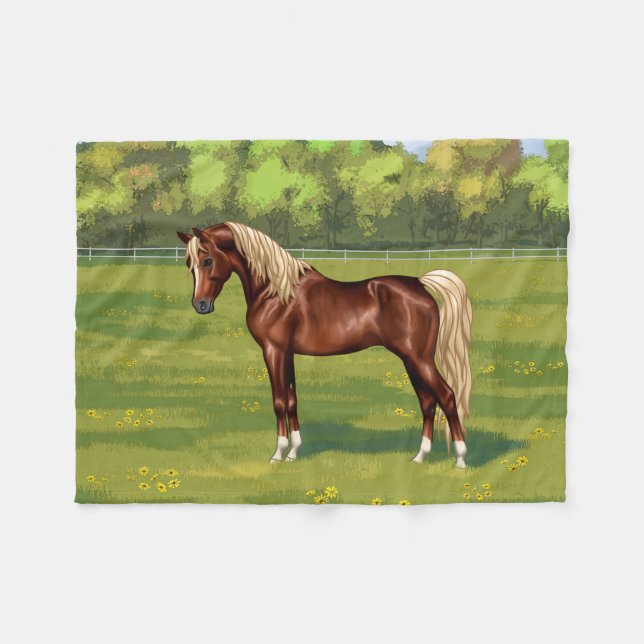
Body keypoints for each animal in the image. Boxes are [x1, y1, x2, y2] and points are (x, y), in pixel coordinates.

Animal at [177, 223, 473, 468]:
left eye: (207, 260)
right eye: (189, 264)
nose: (200, 305)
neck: (274, 291)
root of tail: (420, 284)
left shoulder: (273, 351)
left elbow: (279, 402)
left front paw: (278, 454)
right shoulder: (288, 354)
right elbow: (292, 401)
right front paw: (294, 452)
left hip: (418, 359)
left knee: (446, 396)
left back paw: (460, 459)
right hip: (411, 360)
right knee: (427, 402)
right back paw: (420, 456)